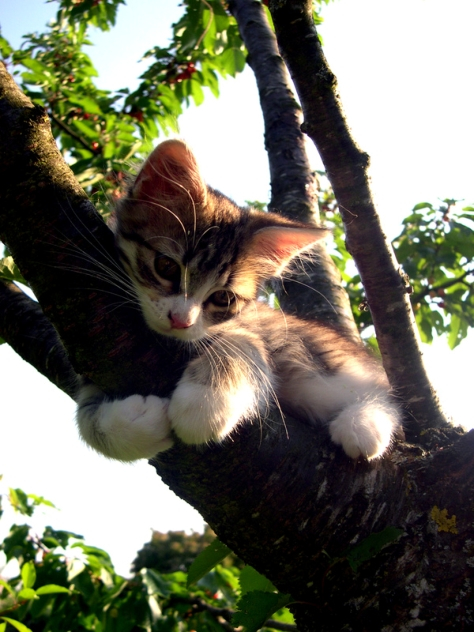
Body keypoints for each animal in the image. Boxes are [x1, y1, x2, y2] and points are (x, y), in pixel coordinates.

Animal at [76, 141, 402, 462]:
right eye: (166, 266)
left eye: (222, 297)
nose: (181, 320)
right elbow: (85, 420)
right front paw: (132, 424)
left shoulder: (254, 332)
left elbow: (240, 346)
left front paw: (203, 405)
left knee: (386, 396)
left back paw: (362, 424)